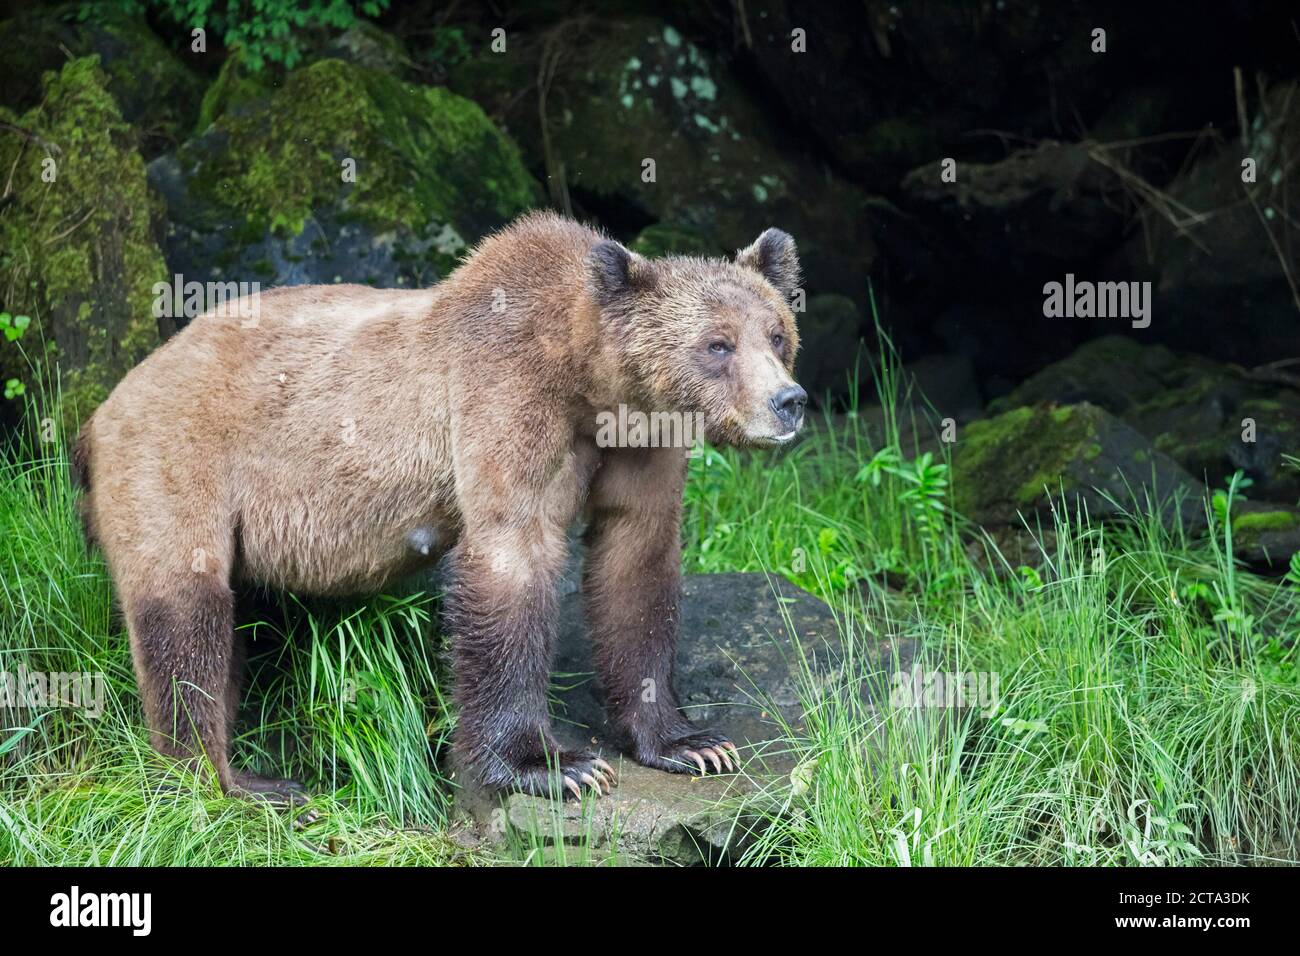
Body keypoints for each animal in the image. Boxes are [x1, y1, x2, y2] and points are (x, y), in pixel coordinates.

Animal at [76, 213, 800, 806]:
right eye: (717, 344)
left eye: (776, 334)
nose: (788, 401)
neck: (589, 380)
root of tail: (101, 410)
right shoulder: (504, 399)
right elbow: (510, 557)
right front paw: (552, 765)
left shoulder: (637, 443)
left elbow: (636, 563)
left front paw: (691, 744)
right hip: (181, 461)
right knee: (186, 614)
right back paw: (227, 779)